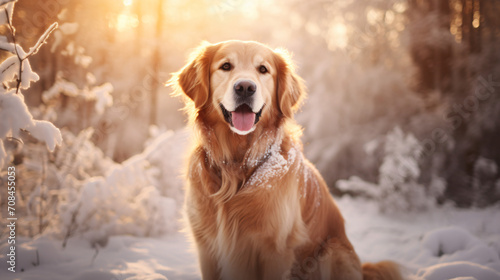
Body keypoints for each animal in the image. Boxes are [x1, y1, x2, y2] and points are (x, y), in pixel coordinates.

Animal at [171, 40, 402, 280]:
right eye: (226, 66)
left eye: (263, 69)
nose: (245, 87)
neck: (237, 164)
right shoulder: (207, 248)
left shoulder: (275, 248)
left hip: (332, 252)